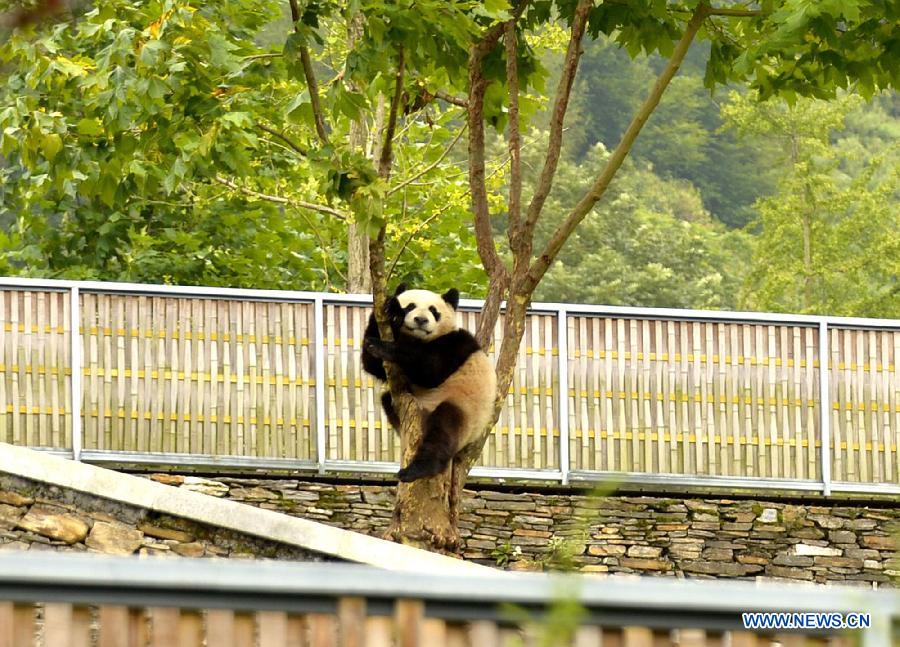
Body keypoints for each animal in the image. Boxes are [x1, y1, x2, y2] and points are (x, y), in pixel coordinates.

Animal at [360, 286, 500, 484]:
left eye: (434, 311)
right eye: (410, 306)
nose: (421, 320)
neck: (419, 340)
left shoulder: (457, 343)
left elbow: (430, 370)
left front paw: (381, 345)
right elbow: (371, 365)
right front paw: (391, 312)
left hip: (465, 411)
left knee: (443, 431)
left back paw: (416, 470)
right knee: (387, 398)